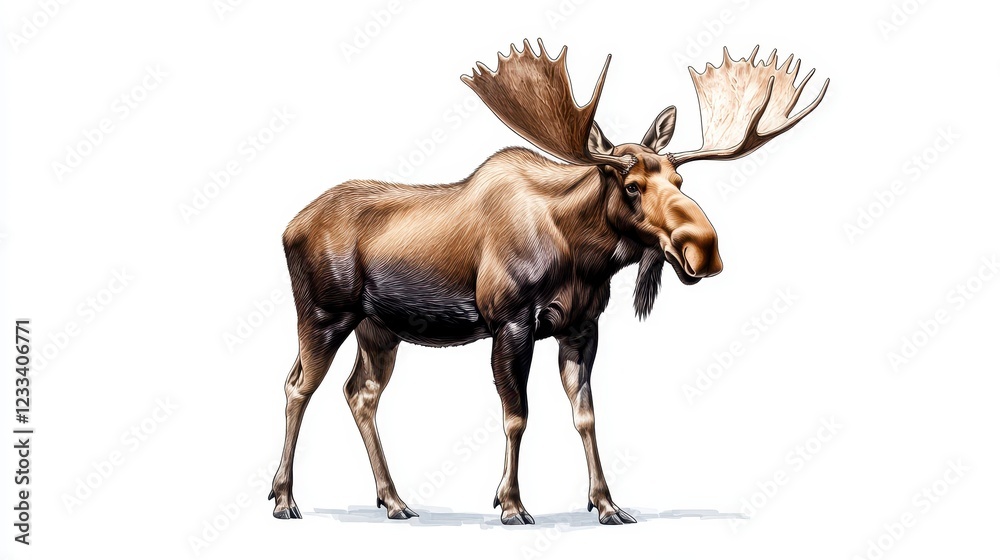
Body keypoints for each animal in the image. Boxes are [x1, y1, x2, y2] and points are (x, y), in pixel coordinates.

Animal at [269, 39, 828, 525]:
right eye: (631, 185)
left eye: (679, 180)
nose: (704, 247)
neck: (582, 257)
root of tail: (288, 226)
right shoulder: (510, 322)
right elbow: (516, 415)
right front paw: (512, 504)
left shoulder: (581, 327)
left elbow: (586, 416)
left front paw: (607, 505)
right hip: (323, 315)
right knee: (298, 385)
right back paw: (284, 498)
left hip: (379, 329)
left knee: (359, 394)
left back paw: (394, 500)